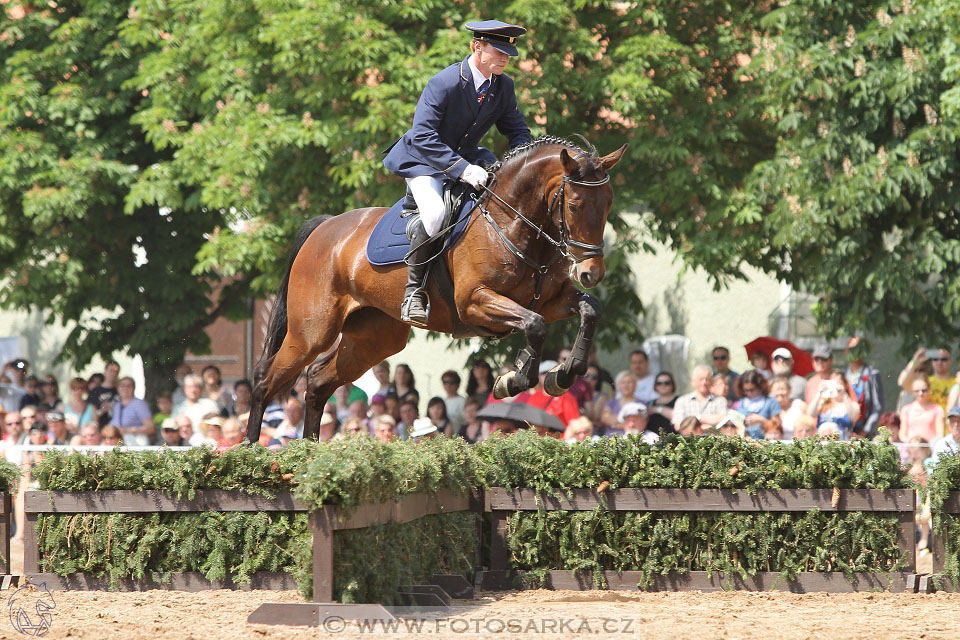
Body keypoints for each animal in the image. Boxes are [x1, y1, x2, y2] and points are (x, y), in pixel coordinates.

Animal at [244, 137, 628, 442]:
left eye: (609, 203)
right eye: (574, 206)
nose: (591, 272)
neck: (515, 225)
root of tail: (324, 229)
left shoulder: (551, 300)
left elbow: (589, 310)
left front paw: (562, 374)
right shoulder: (475, 302)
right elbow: (535, 325)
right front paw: (514, 380)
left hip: (374, 338)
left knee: (318, 382)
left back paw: (310, 450)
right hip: (312, 332)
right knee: (265, 378)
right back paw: (250, 447)